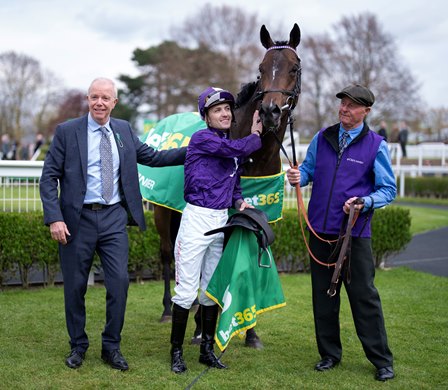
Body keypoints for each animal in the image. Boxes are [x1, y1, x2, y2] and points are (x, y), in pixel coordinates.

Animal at [153, 22, 300, 348]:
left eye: (294, 68)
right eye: (261, 68)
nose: (269, 111)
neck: (255, 156)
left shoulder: (260, 217)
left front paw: (251, 333)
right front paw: (200, 325)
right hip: (162, 212)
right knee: (168, 254)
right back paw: (169, 309)